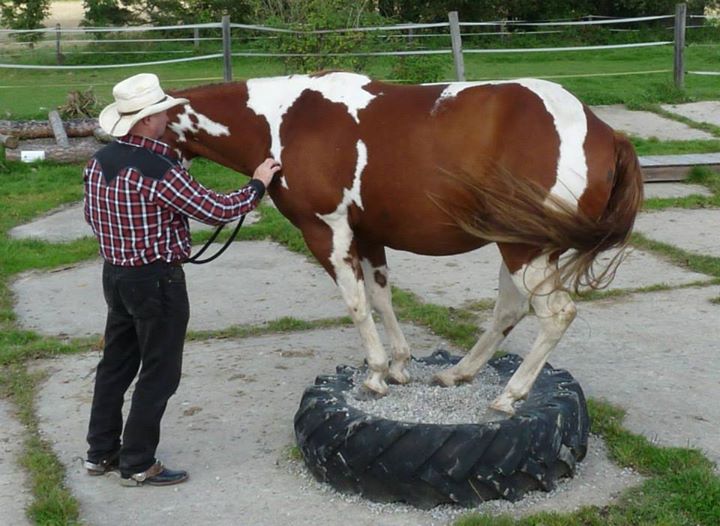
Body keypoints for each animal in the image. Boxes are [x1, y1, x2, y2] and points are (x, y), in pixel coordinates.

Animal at [166, 71, 644, 416]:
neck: (284, 120)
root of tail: (606, 133)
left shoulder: (327, 231)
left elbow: (357, 303)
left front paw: (376, 374)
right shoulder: (368, 236)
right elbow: (381, 298)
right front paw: (398, 366)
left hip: (527, 249)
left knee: (556, 314)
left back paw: (509, 395)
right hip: (519, 247)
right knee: (510, 310)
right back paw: (457, 374)